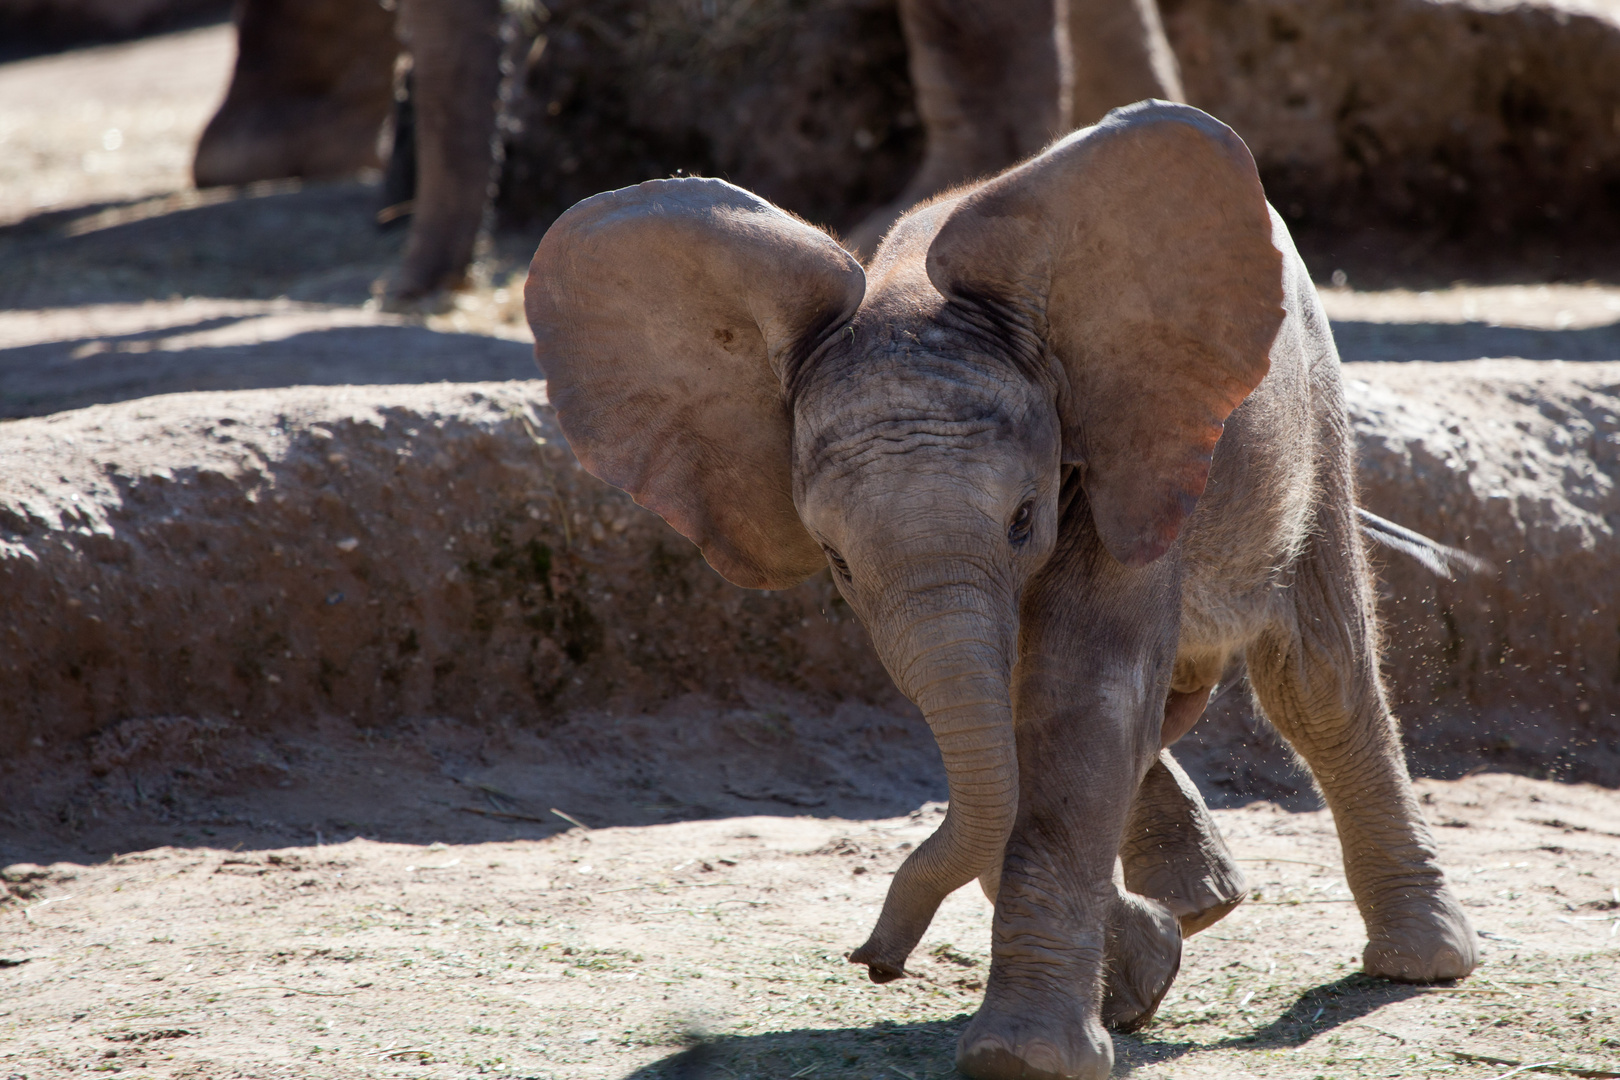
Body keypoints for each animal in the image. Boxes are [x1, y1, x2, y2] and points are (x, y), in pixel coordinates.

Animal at [528, 101, 1483, 1080]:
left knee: (1316, 677)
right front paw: (1140, 976)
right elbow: (1014, 725)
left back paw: (1417, 963)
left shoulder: (1113, 445)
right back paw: (1199, 906)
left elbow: (1078, 699)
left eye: (1024, 518)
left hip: (1312, 405)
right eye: (835, 560)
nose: (874, 960)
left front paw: (1028, 1056)